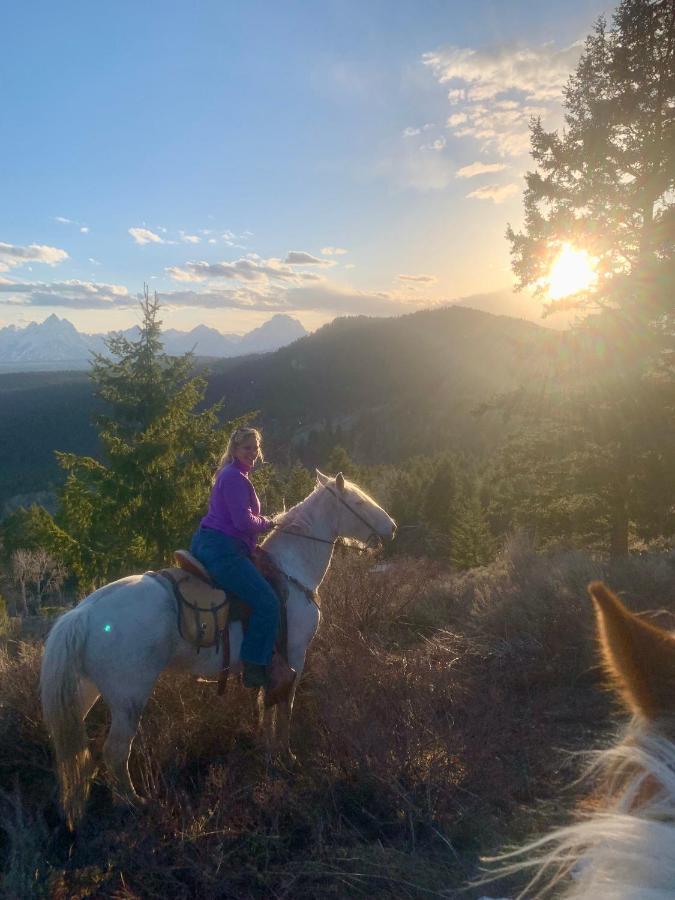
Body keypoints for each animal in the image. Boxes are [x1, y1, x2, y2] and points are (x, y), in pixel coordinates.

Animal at [39, 472, 396, 828]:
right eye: (358, 501)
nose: (391, 527)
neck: (291, 571)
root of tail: (83, 614)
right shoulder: (295, 653)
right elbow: (286, 705)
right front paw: (286, 755)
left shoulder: (270, 665)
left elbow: (266, 703)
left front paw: (268, 751)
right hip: (129, 696)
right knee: (115, 751)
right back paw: (133, 803)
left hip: (86, 691)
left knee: (77, 750)